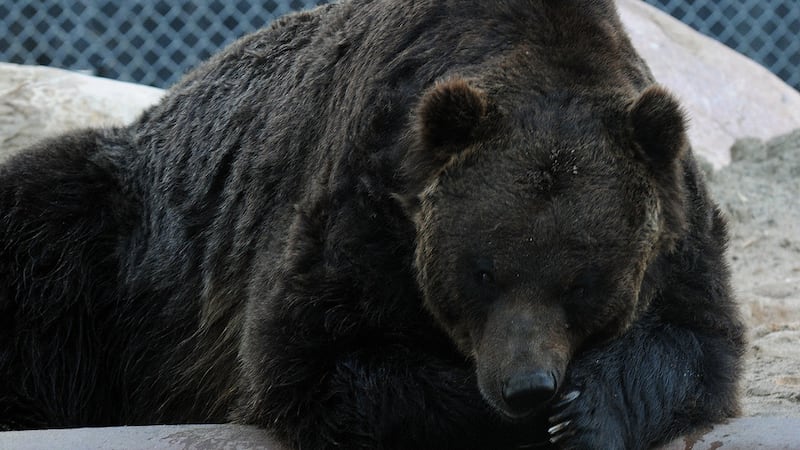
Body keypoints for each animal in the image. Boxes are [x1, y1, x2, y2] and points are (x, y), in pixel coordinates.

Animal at [0, 0, 745, 449]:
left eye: (584, 283)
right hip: (125, 242)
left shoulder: (678, 225)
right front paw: (502, 418)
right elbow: (314, 361)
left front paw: (582, 413)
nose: (526, 385)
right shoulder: (358, 206)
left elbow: (696, 340)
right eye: (482, 272)